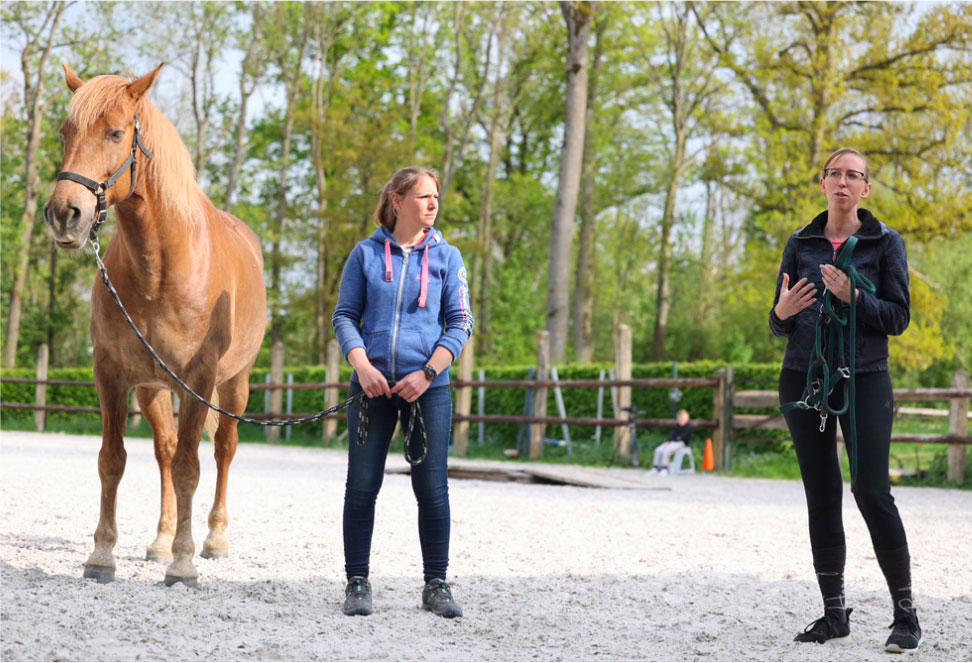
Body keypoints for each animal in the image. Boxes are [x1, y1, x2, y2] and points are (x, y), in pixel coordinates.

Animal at [44, 65, 268, 588]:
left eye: (115, 133)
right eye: (65, 133)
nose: (64, 215)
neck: (160, 266)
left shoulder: (200, 380)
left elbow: (190, 466)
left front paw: (184, 563)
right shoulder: (111, 375)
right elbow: (113, 461)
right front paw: (102, 555)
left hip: (235, 384)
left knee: (223, 450)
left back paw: (213, 539)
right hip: (152, 389)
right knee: (164, 449)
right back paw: (162, 540)